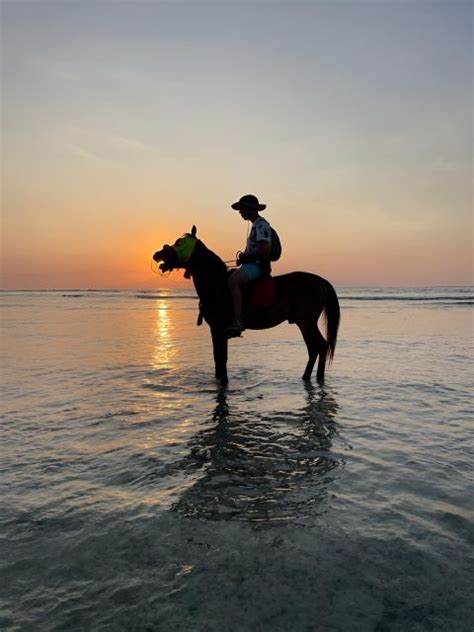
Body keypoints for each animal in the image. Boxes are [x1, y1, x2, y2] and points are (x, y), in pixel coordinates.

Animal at [156, 225, 340, 388]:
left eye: (181, 243)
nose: (158, 254)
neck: (217, 285)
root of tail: (321, 281)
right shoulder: (215, 330)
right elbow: (217, 359)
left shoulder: (219, 329)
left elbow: (221, 359)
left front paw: (224, 384)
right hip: (304, 323)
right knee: (316, 348)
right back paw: (309, 378)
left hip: (306, 322)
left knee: (319, 346)